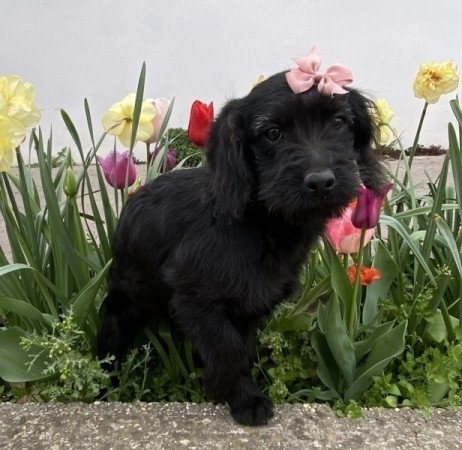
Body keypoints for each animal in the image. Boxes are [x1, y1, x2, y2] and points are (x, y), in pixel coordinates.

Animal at [97, 71, 382, 426]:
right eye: (272, 133)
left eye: (339, 122)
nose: (321, 182)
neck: (261, 224)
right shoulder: (195, 300)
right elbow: (227, 349)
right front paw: (240, 397)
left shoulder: (251, 304)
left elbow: (241, 348)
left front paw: (232, 389)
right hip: (122, 307)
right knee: (108, 349)